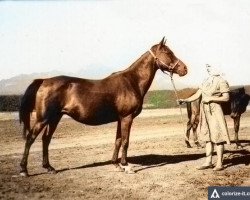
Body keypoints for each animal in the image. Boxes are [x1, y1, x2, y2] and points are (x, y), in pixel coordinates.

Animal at [19, 37, 188, 175]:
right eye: (168, 52)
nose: (184, 69)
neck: (132, 81)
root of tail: (43, 81)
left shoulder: (121, 118)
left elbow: (118, 140)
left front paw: (116, 164)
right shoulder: (127, 118)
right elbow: (125, 141)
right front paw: (126, 165)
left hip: (55, 118)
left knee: (46, 139)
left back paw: (49, 168)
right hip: (43, 118)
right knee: (31, 138)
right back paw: (24, 170)